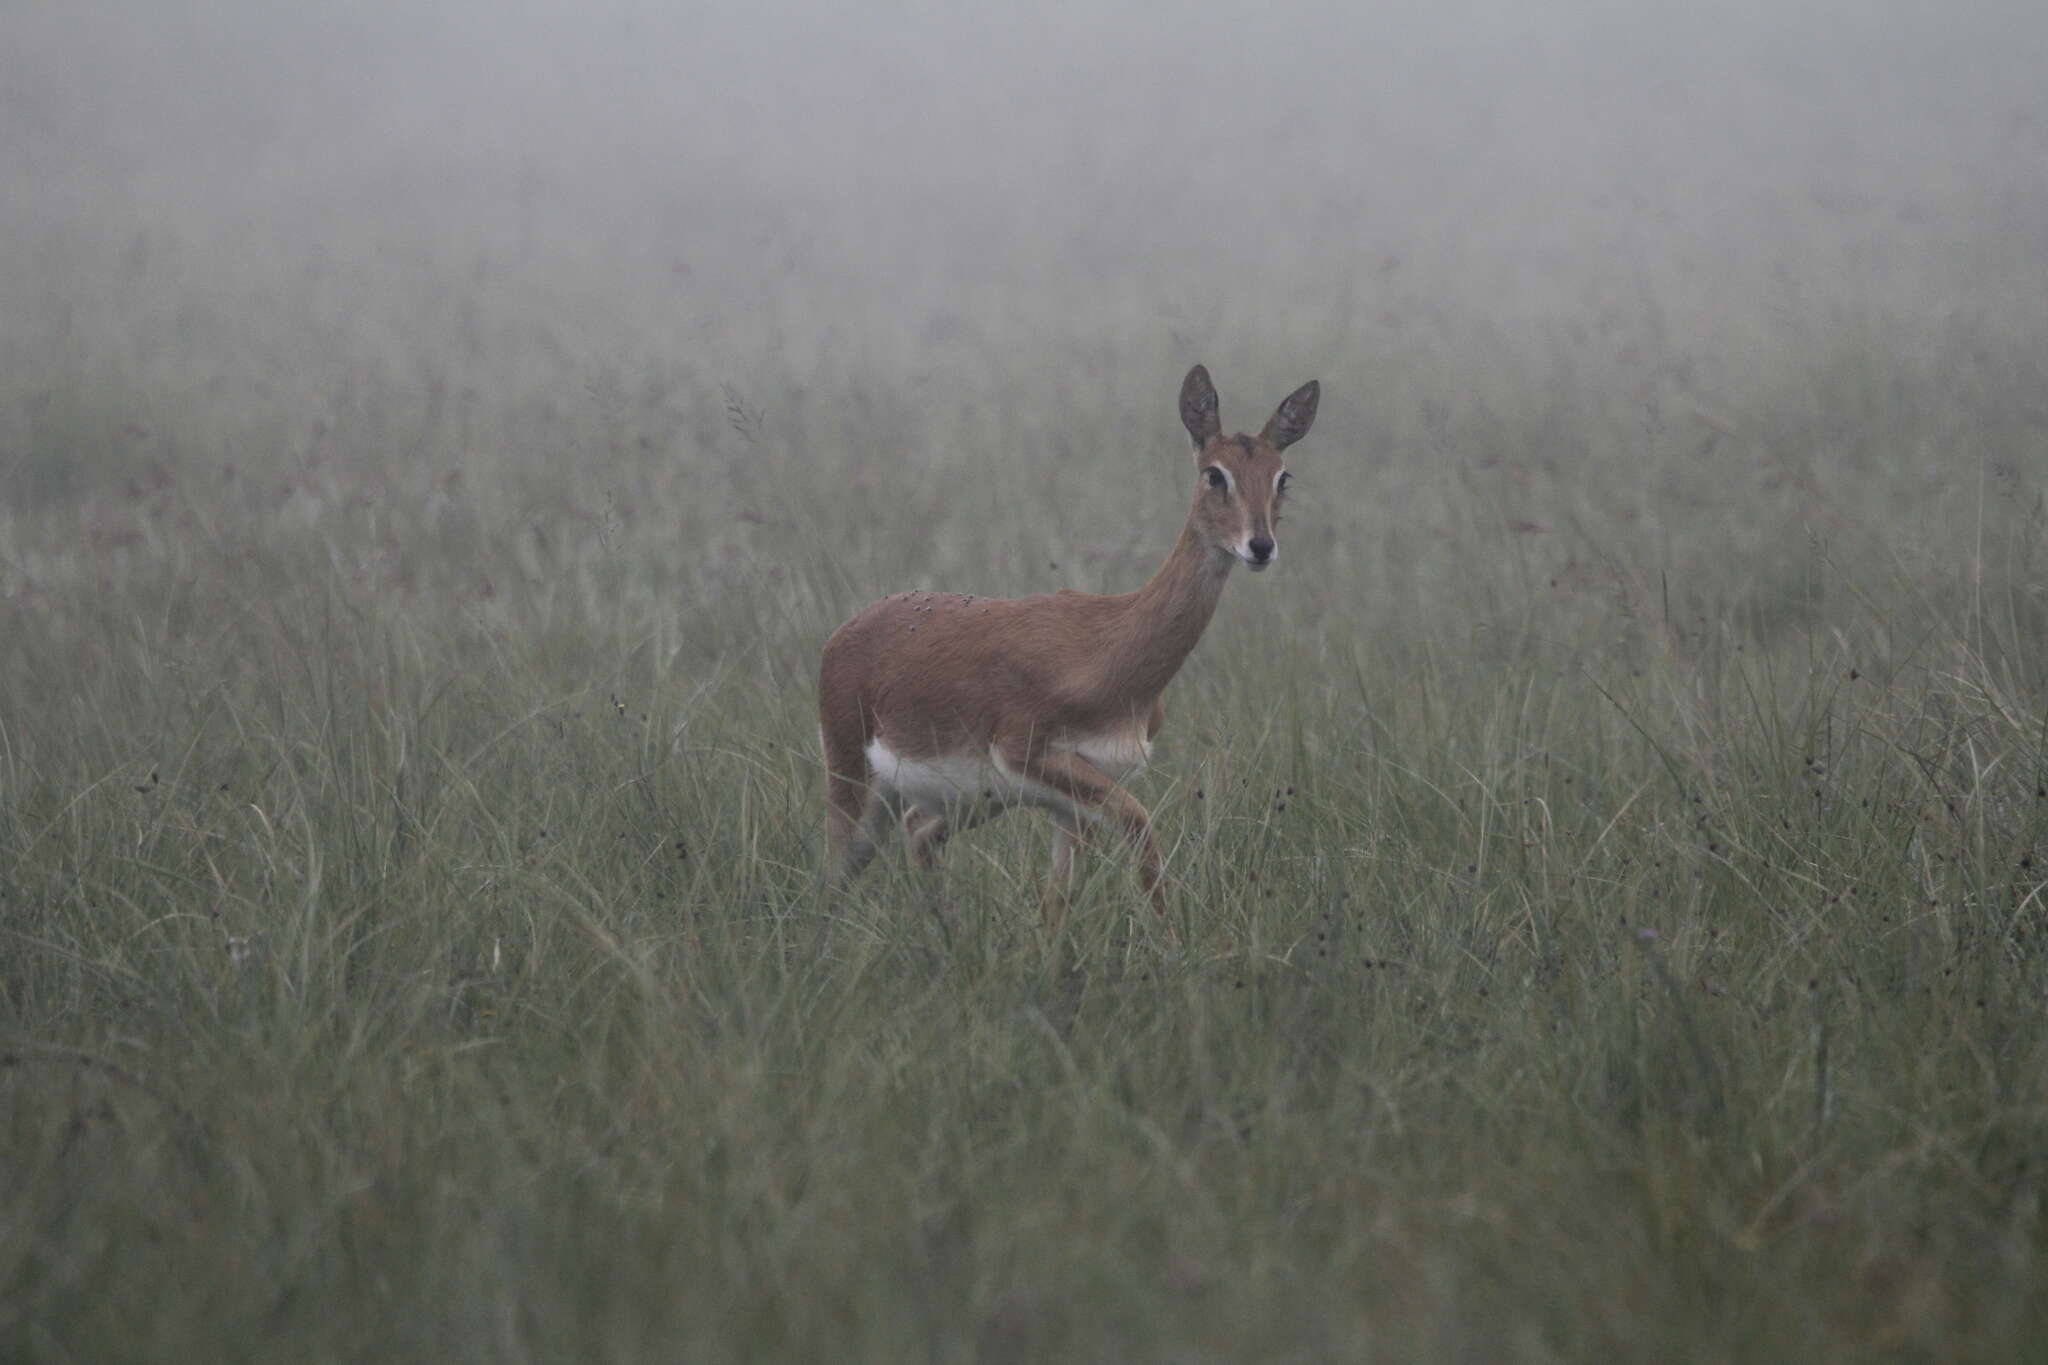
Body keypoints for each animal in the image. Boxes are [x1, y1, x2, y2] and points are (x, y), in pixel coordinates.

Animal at [806, 366, 1318, 929]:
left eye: (1282, 476)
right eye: (1214, 474)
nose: (1260, 546)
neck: (1106, 650)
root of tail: (846, 631)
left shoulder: (1070, 803)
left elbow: (1056, 904)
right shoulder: (1038, 760)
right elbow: (1141, 827)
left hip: (965, 800)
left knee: (917, 830)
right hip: (856, 784)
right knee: (832, 875)